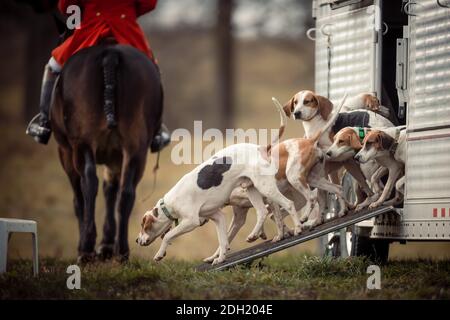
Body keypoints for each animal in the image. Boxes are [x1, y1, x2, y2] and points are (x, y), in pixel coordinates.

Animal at [51, 43, 163, 262]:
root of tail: (110, 52)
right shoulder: (116, 158)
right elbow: (111, 191)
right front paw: (107, 245)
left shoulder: (66, 152)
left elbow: (80, 199)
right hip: (136, 149)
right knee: (126, 192)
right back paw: (122, 251)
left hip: (81, 145)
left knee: (88, 184)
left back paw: (86, 248)